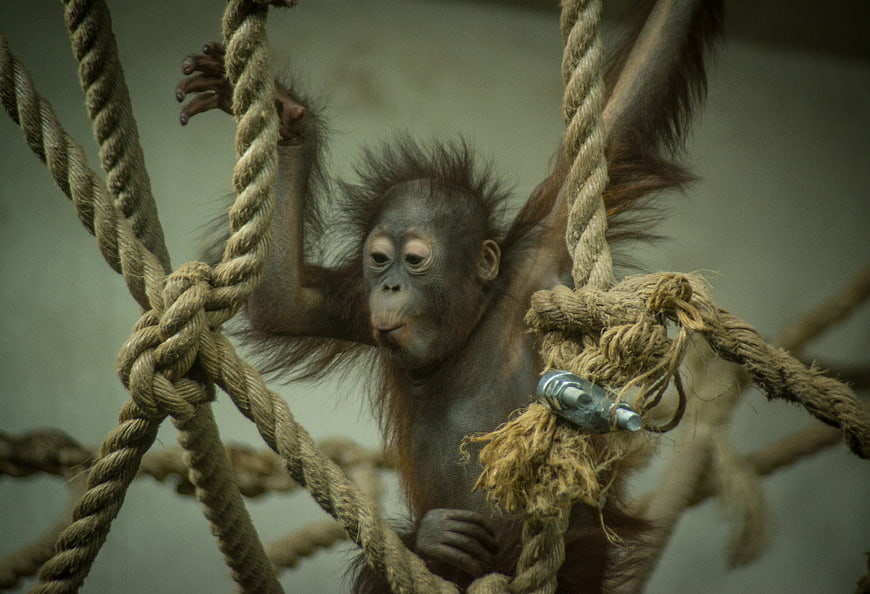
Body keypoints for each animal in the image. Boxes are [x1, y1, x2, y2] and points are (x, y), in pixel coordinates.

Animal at [175, 1, 723, 591]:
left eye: (415, 260)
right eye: (379, 259)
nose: (390, 285)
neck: (468, 327)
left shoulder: (539, 261)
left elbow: (631, 99)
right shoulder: (355, 305)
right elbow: (286, 299)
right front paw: (286, 118)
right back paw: (428, 542)